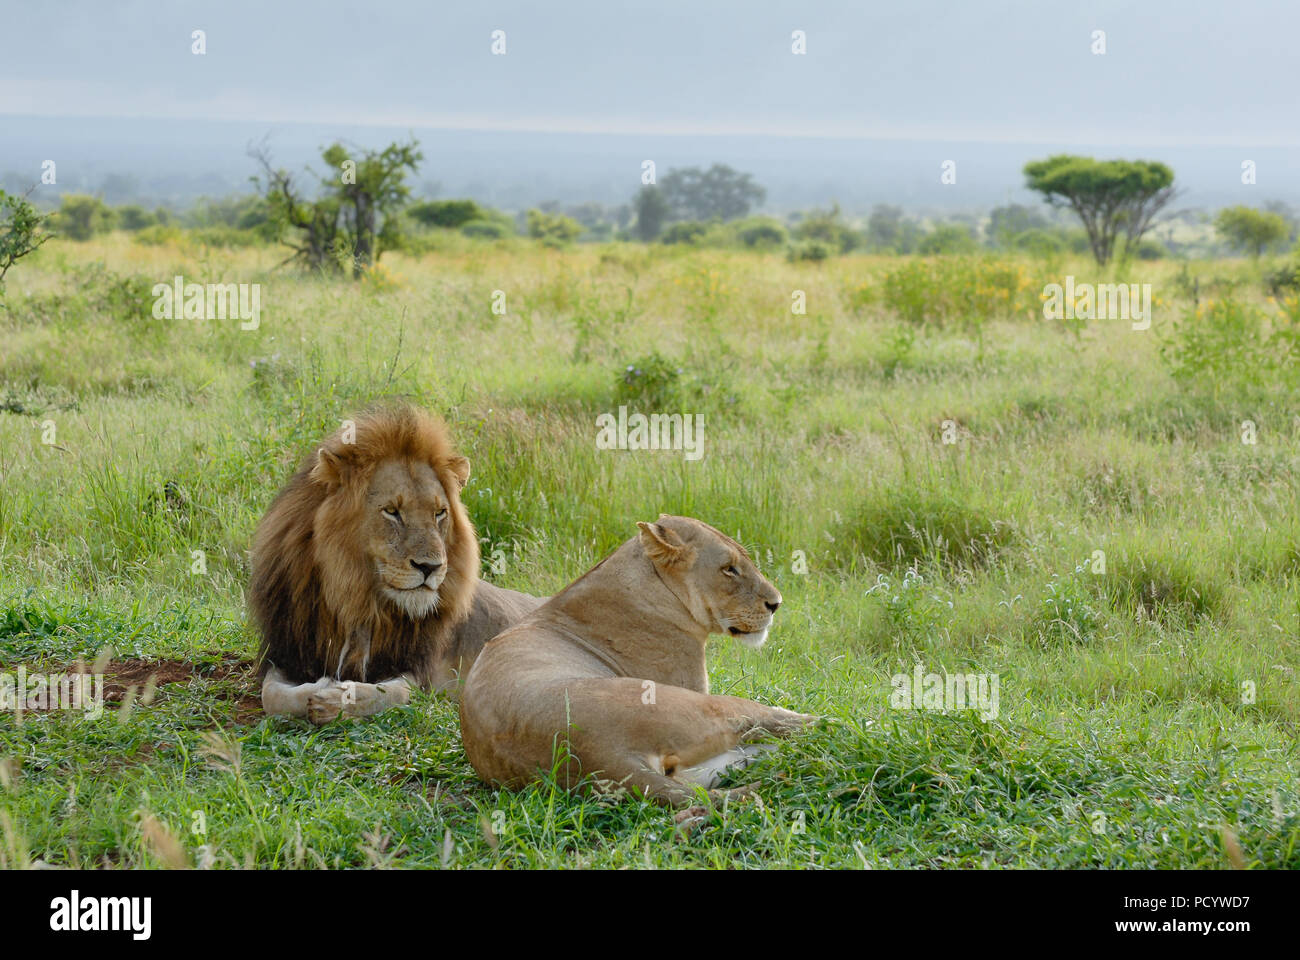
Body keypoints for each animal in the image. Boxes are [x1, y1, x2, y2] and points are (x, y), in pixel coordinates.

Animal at [249, 405, 544, 724]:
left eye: (440, 513)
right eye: (392, 511)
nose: (430, 567)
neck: (354, 599)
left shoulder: (420, 669)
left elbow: (392, 693)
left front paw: (336, 699)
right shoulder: (286, 652)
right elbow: (272, 696)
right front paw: (321, 686)